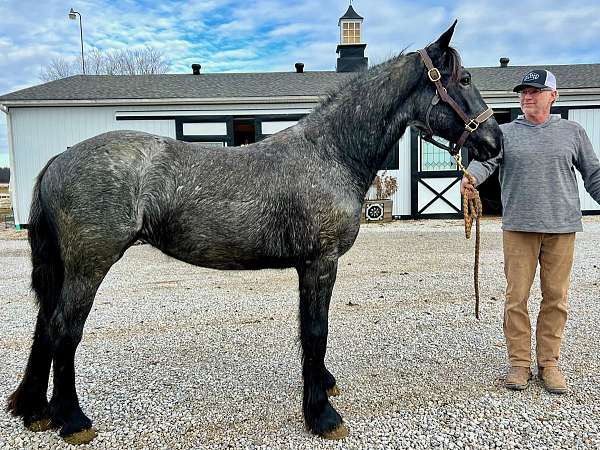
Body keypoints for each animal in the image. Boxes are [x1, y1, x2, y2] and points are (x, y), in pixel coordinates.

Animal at [5, 22, 502, 444]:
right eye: (463, 79)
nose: (494, 142)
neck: (331, 152)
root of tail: (60, 158)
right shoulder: (320, 263)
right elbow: (316, 331)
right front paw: (322, 415)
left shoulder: (309, 267)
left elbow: (311, 332)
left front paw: (322, 387)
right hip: (90, 266)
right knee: (64, 330)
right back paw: (72, 419)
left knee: (44, 325)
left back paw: (35, 410)